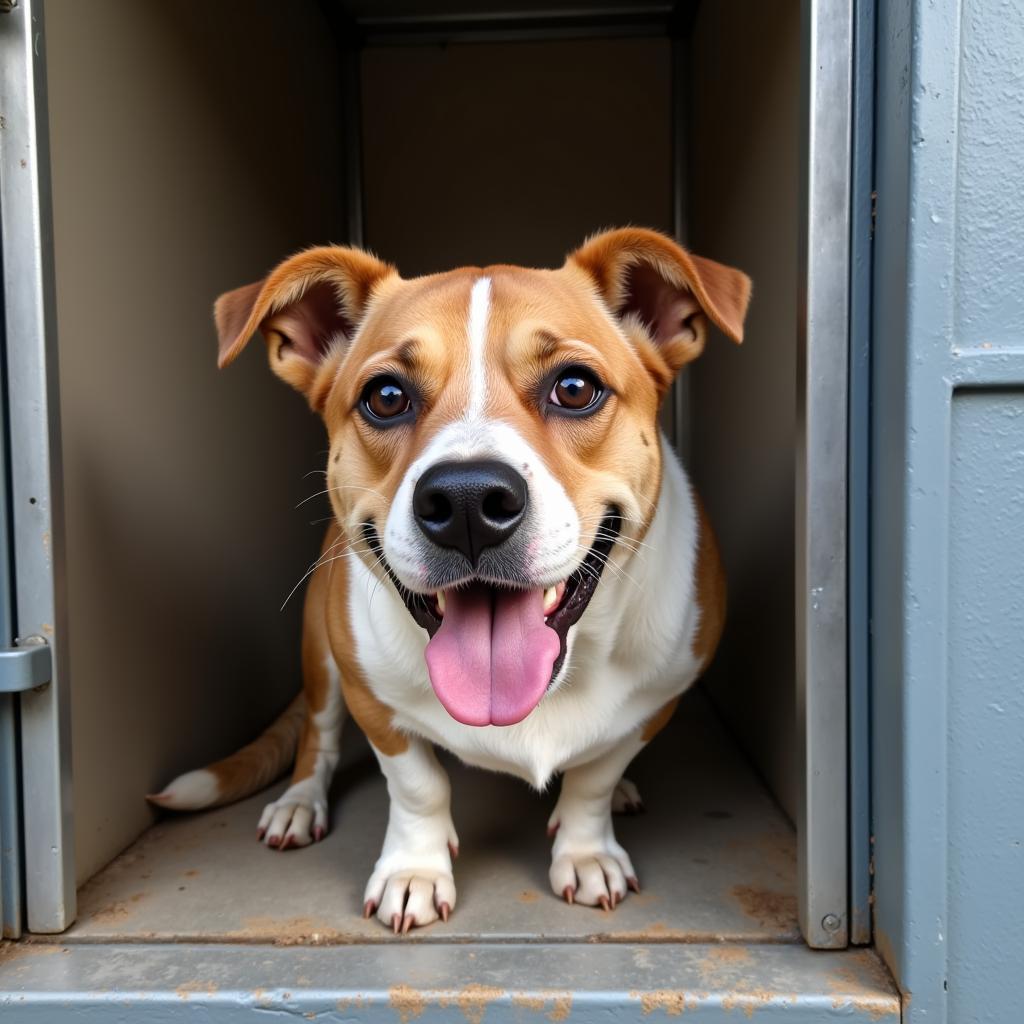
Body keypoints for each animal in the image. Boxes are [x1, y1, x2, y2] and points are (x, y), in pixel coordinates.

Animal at [148, 228, 749, 933]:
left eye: (575, 388)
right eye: (385, 397)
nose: (467, 502)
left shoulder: (658, 699)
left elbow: (595, 777)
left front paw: (586, 850)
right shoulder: (370, 695)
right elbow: (417, 785)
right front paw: (414, 870)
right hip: (321, 658)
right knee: (318, 736)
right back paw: (298, 802)